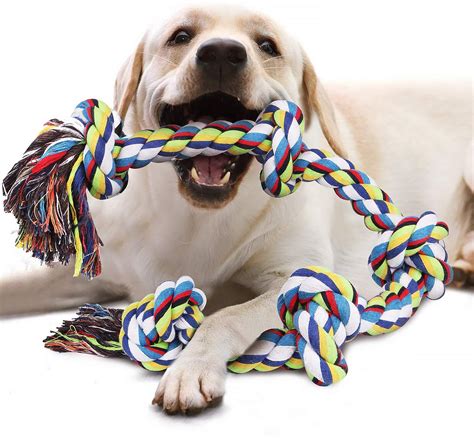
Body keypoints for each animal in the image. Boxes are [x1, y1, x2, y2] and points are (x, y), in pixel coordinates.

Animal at [0, 6, 474, 414]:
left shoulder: (301, 276)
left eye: (267, 45)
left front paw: (189, 371)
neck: (196, 218)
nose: (222, 54)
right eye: (181, 36)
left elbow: (225, 316)